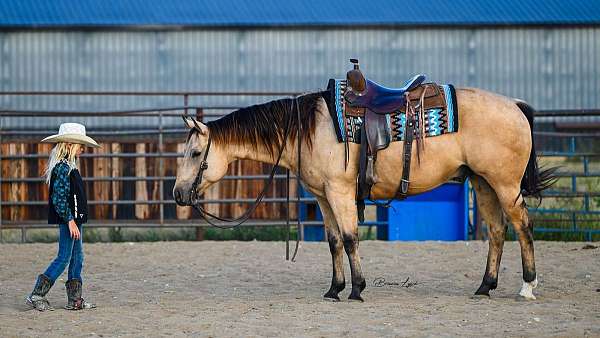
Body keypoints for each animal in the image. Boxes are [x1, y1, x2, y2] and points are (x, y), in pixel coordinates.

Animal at [173, 62, 556, 302]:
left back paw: (527, 286)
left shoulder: (340, 191)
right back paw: (484, 286)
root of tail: (516, 106)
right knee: (496, 231)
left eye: (195, 153)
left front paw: (357, 289)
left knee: (523, 227)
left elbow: (350, 238)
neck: (311, 128)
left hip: (505, 185)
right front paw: (334, 289)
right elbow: (333, 242)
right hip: (483, 183)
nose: (177, 194)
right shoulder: (323, 197)